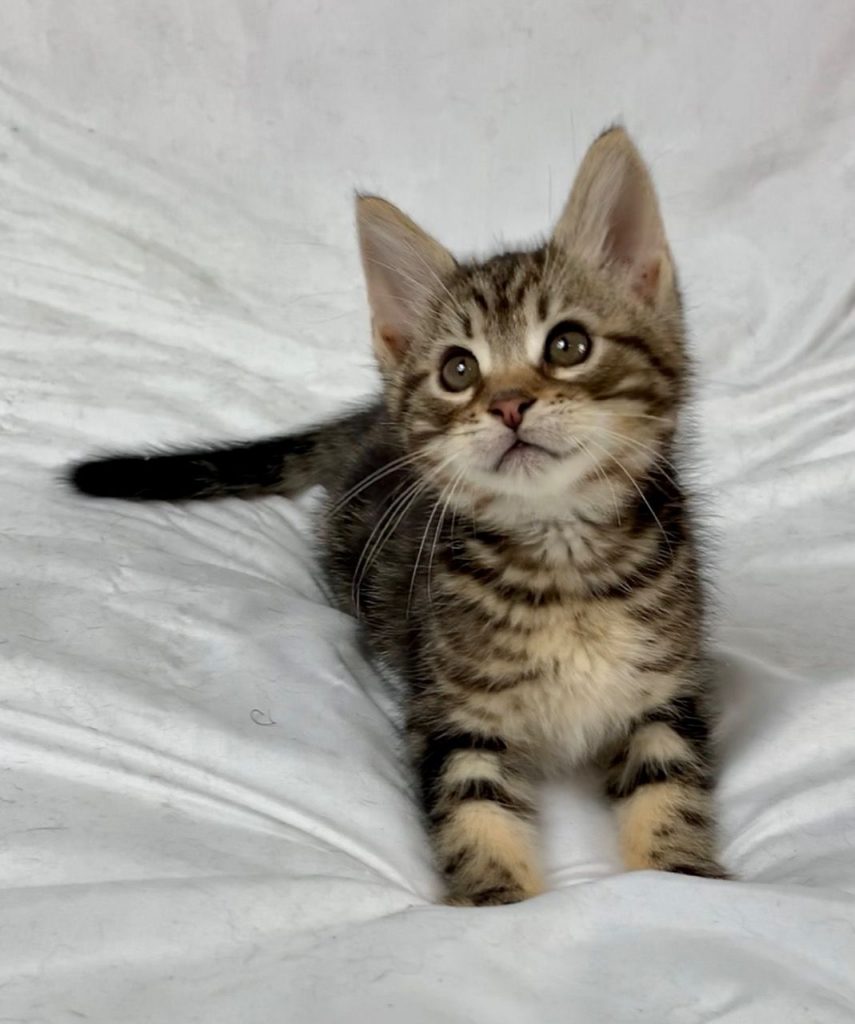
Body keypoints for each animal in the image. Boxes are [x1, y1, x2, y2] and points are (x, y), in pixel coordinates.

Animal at [71, 128, 729, 905]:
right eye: (458, 371)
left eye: (568, 345)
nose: (508, 404)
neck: (561, 560)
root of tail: (368, 420)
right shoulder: (451, 717)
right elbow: (473, 814)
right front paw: (497, 902)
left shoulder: (667, 694)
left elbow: (672, 792)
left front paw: (683, 876)